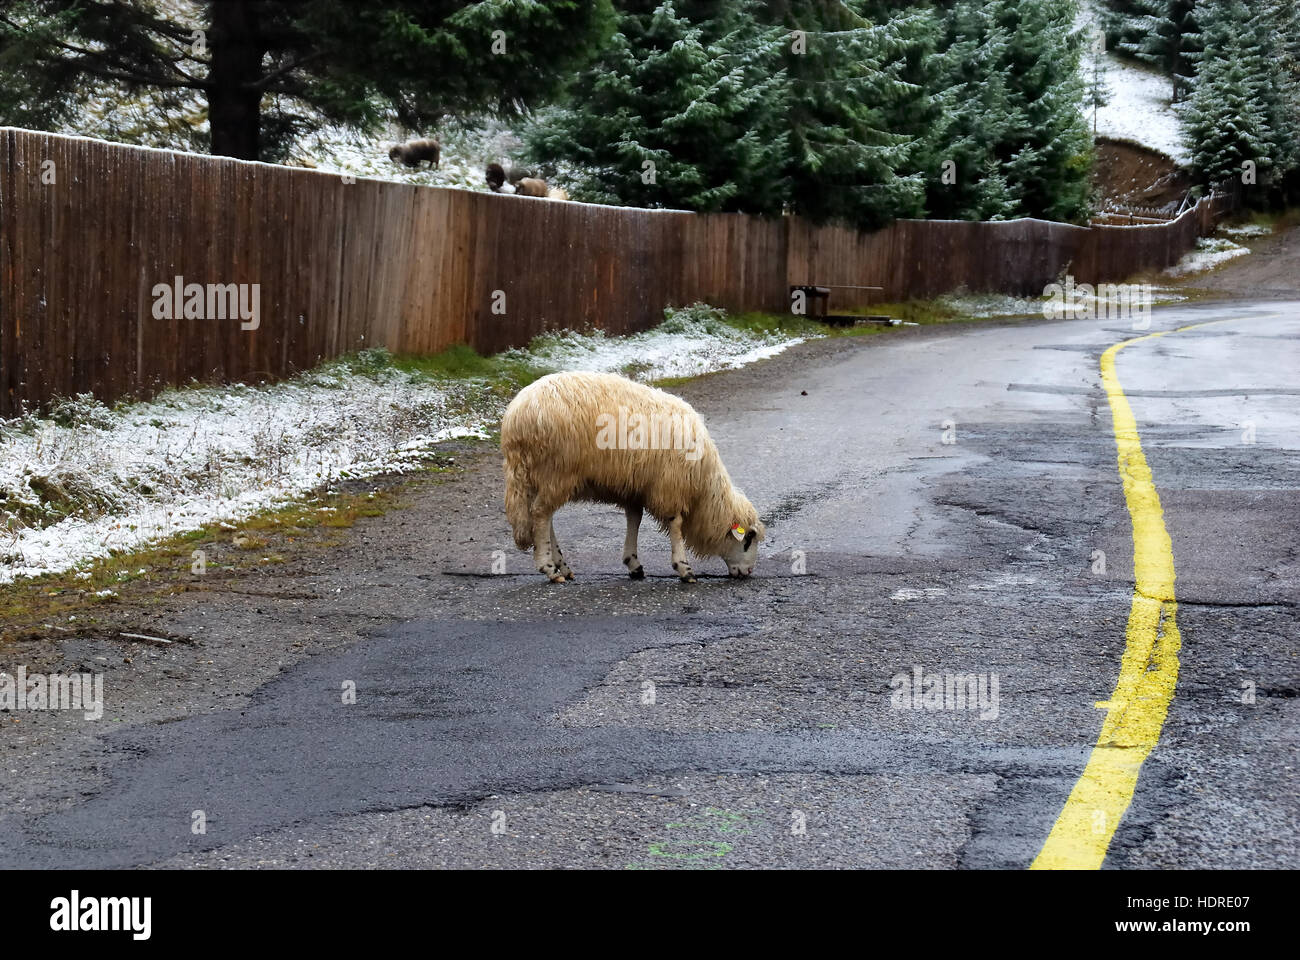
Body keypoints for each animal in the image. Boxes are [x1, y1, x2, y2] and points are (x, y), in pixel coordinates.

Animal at [496, 369, 759, 580]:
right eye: (747, 540)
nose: (748, 572)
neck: (703, 488)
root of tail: (517, 416)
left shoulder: (636, 487)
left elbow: (635, 519)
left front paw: (633, 563)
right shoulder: (669, 485)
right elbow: (675, 524)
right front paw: (684, 568)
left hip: (539, 476)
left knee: (542, 516)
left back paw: (563, 566)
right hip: (556, 470)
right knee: (541, 514)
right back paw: (549, 568)